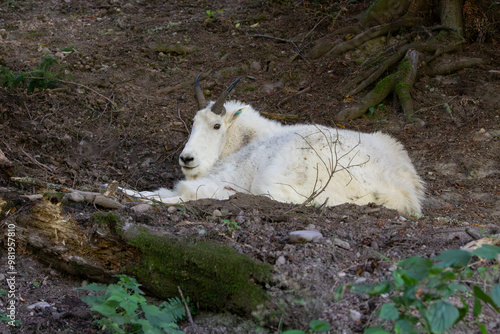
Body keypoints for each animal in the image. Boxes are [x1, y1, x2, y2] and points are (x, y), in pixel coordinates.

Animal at [127, 74, 424, 215]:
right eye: (193, 122)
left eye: (216, 125)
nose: (186, 159)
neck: (248, 140)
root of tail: (400, 189)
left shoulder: (229, 178)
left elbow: (184, 191)